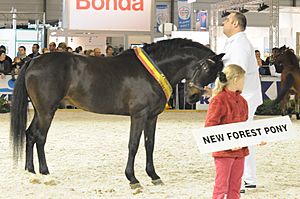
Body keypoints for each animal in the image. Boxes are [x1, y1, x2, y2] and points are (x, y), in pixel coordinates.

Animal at [9, 38, 223, 188]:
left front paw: (154, 176)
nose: (194, 97)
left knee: (30, 134)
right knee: (40, 137)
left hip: (40, 110)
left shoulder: (152, 117)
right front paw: (133, 178)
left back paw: (31, 171)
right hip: (47, 111)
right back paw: (45, 172)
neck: (153, 71)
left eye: (216, 74)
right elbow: (133, 145)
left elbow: (150, 145)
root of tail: (34, 60)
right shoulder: (139, 115)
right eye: (205, 67)